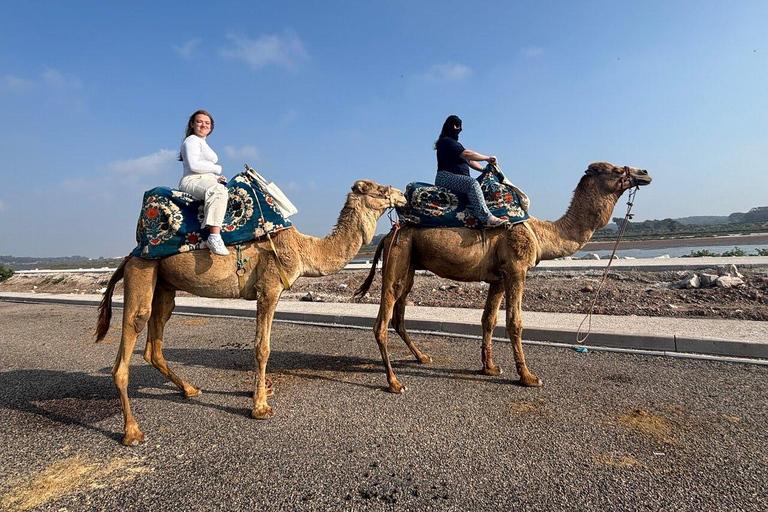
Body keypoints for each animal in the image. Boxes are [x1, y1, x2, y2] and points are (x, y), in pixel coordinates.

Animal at [96, 180, 406, 445]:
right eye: (378, 189)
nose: (401, 194)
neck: (302, 248)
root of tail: (130, 255)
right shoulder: (269, 288)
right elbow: (262, 347)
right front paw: (260, 407)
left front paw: (262, 390)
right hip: (142, 272)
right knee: (128, 342)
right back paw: (132, 432)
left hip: (163, 286)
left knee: (154, 345)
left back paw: (190, 389)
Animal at [354, 162, 652, 393]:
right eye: (616, 169)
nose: (645, 172)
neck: (540, 232)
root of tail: (389, 233)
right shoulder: (516, 270)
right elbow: (514, 323)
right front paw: (528, 377)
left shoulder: (498, 278)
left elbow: (489, 320)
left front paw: (489, 367)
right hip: (398, 255)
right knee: (382, 319)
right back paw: (394, 382)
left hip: (410, 265)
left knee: (398, 314)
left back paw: (422, 357)